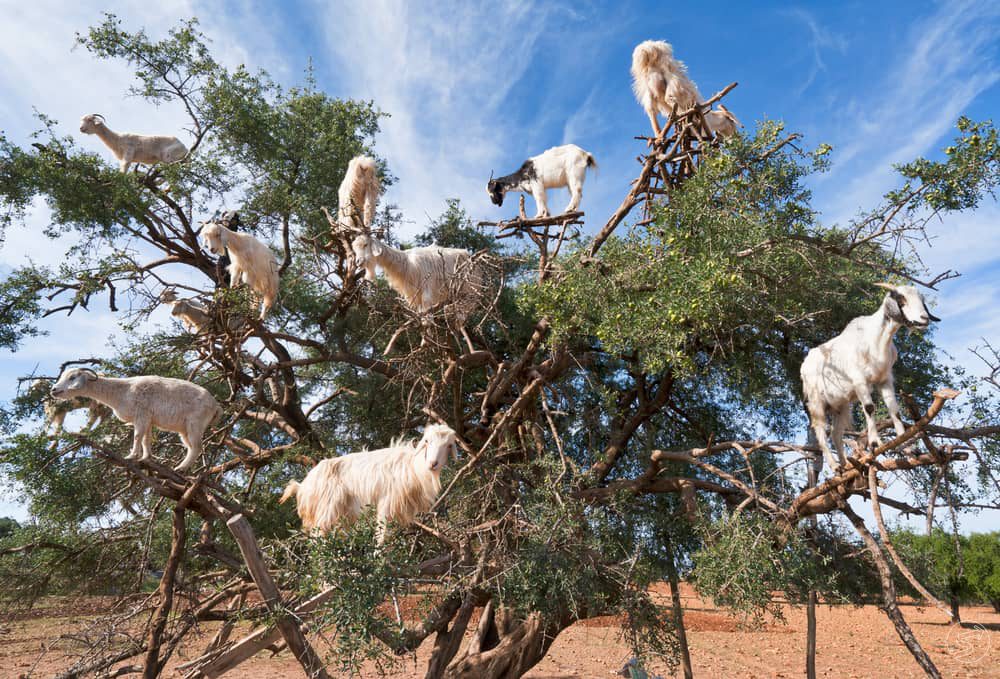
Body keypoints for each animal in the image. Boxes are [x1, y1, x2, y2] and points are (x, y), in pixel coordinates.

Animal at [48, 366, 221, 472]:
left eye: (72, 377)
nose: (54, 390)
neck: (121, 391)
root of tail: (215, 405)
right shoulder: (148, 419)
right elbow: (146, 439)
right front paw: (145, 458)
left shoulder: (141, 416)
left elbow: (137, 436)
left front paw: (131, 456)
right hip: (184, 429)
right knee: (191, 447)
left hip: (195, 424)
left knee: (197, 447)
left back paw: (181, 468)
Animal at [278, 424, 458, 540]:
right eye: (427, 441)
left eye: (449, 445)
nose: (433, 464)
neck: (413, 467)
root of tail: (303, 486)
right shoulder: (386, 503)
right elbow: (381, 537)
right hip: (325, 511)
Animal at [800, 282, 940, 472]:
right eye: (901, 298)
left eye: (921, 299)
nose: (924, 319)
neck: (876, 340)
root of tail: (804, 365)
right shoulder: (860, 381)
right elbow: (869, 407)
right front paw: (875, 442)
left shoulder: (885, 380)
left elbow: (895, 410)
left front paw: (907, 447)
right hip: (816, 402)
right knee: (820, 430)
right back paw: (835, 466)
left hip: (840, 405)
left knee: (836, 434)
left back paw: (846, 465)